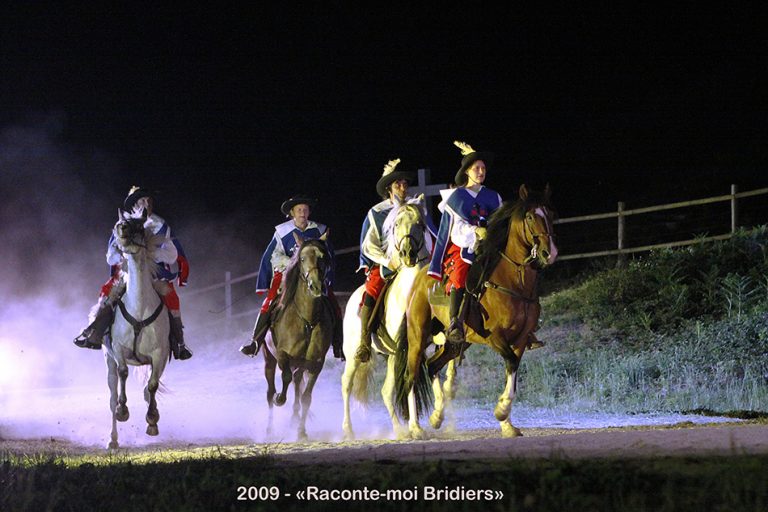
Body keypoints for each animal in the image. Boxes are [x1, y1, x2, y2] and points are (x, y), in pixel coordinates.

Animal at [105, 210, 171, 449]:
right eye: (118, 223)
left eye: (140, 226)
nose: (122, 228)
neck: (140, 307)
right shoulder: (117, 349)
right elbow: (124, 373)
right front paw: (123, 411)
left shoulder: (160, 355)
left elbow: (152, 386)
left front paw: (152, 421)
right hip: (108, 362)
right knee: (112, 395)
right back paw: (113, 439)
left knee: (147, 389)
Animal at [261, 236, 335, 440]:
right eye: (301, 258)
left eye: (323, 257)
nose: (315, 286)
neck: (307, 319)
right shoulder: (282, 354)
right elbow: (284, 379)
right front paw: (280, 399)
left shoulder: (316, 363)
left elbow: (306, 397)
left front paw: (301, 431)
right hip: (269, 359)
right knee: (270, 390)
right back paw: (269, 429)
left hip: (301, 363)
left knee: (297, 382)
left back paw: (294, 419)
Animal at [340, 195, 434, 440]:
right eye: (395, 225)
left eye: (420, 224)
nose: (408, 254)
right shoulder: (407, 347)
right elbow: (410, 381)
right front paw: (416, 428)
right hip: (353, 355)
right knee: (346, 384)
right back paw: (348, 429)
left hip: (390, 356)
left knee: (385, 391)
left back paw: (399, 429)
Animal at [399, 184, 558, 438]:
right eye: (530, 217)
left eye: (550, 214)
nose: (548, 253)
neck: (513, 282)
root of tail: (420, 278)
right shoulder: (495, 337)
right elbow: (511, 362)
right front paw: (502, 411)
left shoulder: (521, 339)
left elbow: (513, 369)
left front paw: (507, 424)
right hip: (417, 336)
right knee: (411, 376)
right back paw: (416, 428)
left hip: (456, 343)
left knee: (432, 365)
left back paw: (437, 415)